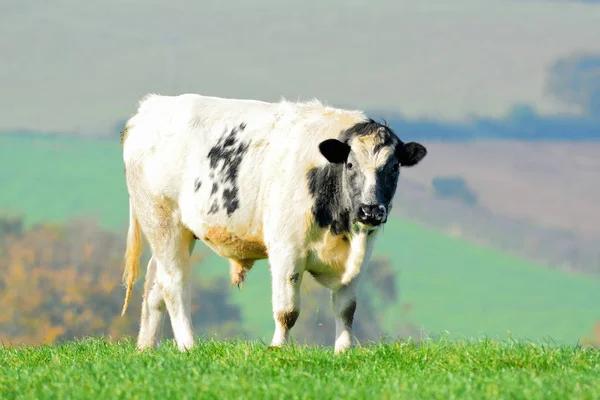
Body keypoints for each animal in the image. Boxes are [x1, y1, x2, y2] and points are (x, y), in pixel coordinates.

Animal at [118, 92, 426, 352]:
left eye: (394, 167)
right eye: (350, 165)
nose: (370, 211)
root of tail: (151, 106)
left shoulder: (361, 256)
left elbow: (346, 308)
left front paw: (343, 351)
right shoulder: (286, 249)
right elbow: (287, 311)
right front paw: (278, 348)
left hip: (177, 230)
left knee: (154, 283)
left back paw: (146, 347)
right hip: (162, 220)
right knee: (174, 284)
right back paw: (188, 345)